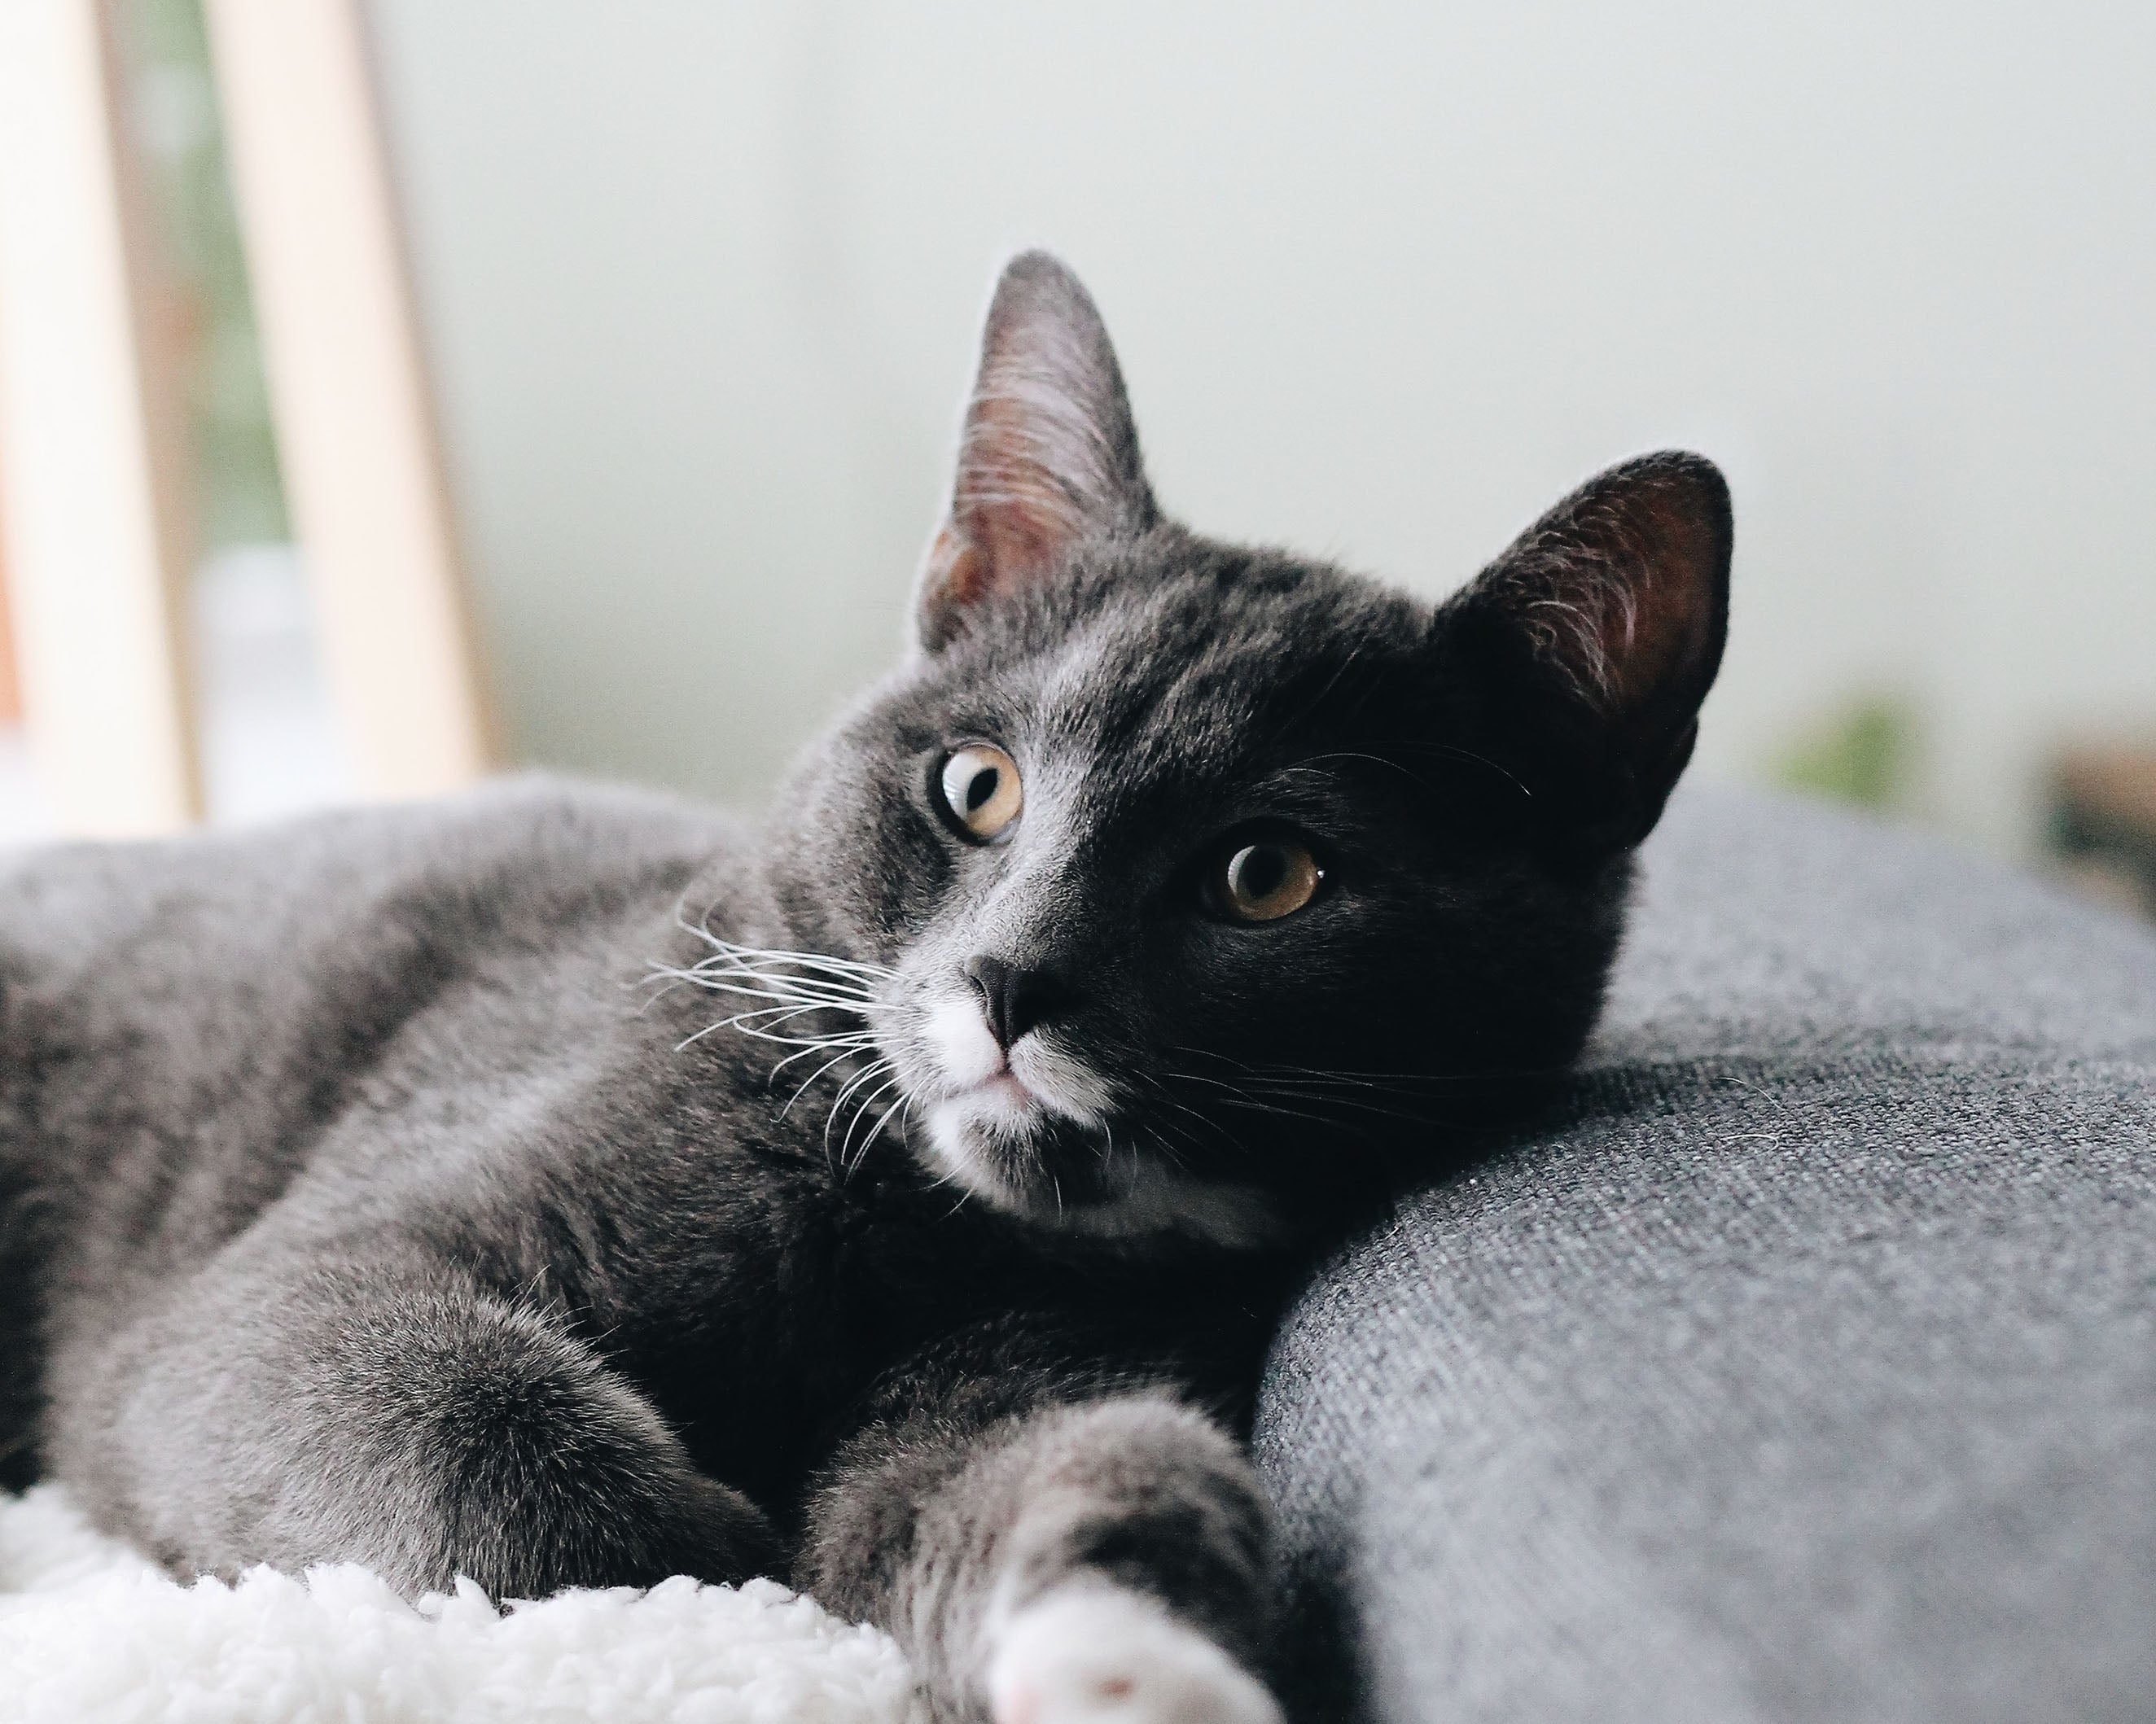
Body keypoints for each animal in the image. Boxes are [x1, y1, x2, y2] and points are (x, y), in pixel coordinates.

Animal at [0, 256, 1724, 1724]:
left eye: (1268, 875)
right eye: (976, 784)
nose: (1010, 979)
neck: (929, 1231)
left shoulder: (1067, 1346)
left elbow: (1035, 1475)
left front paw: (1132, 1666)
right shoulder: (320, 1259)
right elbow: (389, 1384)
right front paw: (694, 1572)